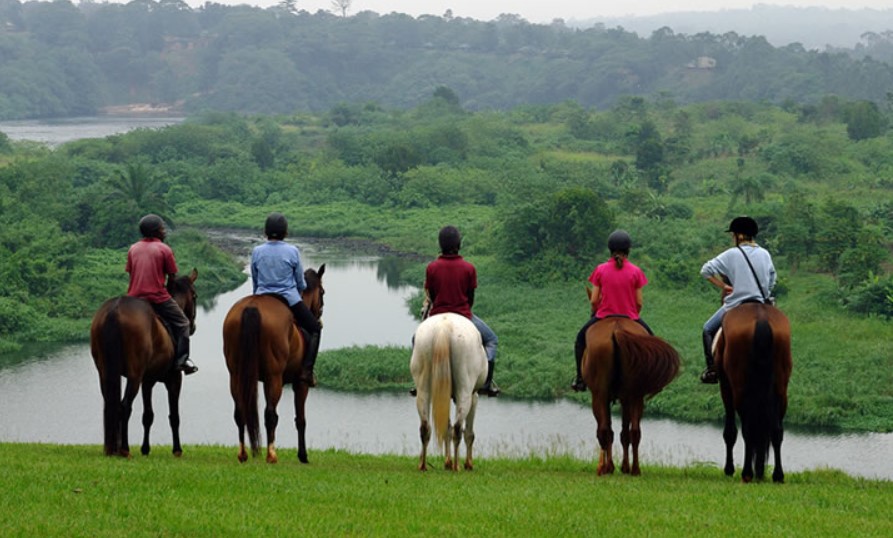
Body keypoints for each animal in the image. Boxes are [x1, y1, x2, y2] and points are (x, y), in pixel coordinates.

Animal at [89, 268, 197, 456]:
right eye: (195, 296)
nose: (192, 327)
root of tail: (114, 310)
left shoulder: (148, 381)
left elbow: (148, 416)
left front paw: (145, 449)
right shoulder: (174, 379)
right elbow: (174, 416)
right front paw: (177, 450)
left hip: (105, 372)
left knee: (110, 404)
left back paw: (112, 448)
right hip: (135, 375)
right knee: (124, 406)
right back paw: (124, 449)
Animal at [222, 262, 326, 460]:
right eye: (322, 292)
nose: (319, 317)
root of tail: (252, 307)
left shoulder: (263, 381)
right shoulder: (300, 384)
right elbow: (300, 419)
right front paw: (303, 455)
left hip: (236, 374)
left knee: (240, 412)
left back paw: (243, 454)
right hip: (275, 376)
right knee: (270, 414)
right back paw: (271, 455)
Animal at [412, 312, 488, 466]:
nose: (422, 312)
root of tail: (444, 327)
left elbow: (445, 427)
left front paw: (447, 461)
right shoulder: (474, 396)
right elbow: (469, 433)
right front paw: (468, 463)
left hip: (423, 387)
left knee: (425, 427)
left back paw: (423, 465)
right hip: (465, 389)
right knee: (458, 428)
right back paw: (456, 465)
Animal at [580, 310, 680, 474]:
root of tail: (616, 330)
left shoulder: (606, 396)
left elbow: (609, 430)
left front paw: (610, 466)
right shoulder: (624, 398)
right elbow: (624, 433)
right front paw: (623, 466)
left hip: (600, 394)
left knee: (604, 430)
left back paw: (604, 468)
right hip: (634, 394)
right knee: (634, 432)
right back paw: (635, 469)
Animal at [716, 302, 792, 482]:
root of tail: (761, 319)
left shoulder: (725, 386)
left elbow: (730, 431)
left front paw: (729, 469)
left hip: (740, 389)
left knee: (748, 428)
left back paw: (747, 473)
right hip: (781, 390)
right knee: (776, 431)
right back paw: (777, 475)